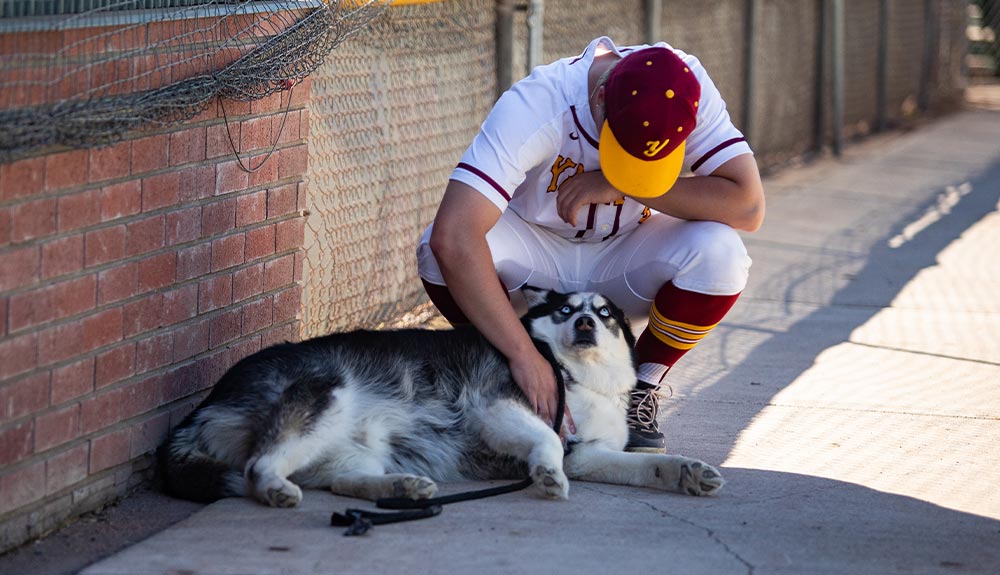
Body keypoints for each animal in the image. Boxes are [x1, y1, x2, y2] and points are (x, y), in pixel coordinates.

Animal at [160, 288, 724, 508]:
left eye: (604, 314)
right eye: (566, 312)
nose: (585, 322)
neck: (574, 376)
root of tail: (201, 406)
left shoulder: (588, 454)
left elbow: (649, 466)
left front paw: (687, 472)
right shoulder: (498, 408)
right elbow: (545, 441)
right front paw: (545, 475)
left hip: (352, 445)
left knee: (339, 481)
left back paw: (401, 487)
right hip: (326, 397)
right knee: (258, 467)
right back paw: (277, 489)